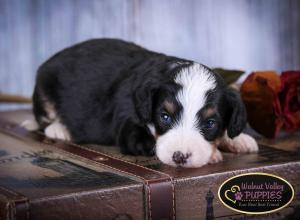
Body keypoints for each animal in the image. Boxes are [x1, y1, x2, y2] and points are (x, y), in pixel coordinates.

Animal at [22, 38, 258, 168]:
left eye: (210, 123)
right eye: (164, 116)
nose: (180, 157)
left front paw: (239, 140)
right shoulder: (129, 126)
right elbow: (150, 142)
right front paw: (213, 155)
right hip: (44, 87)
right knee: (44, 119)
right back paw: (60, 129)